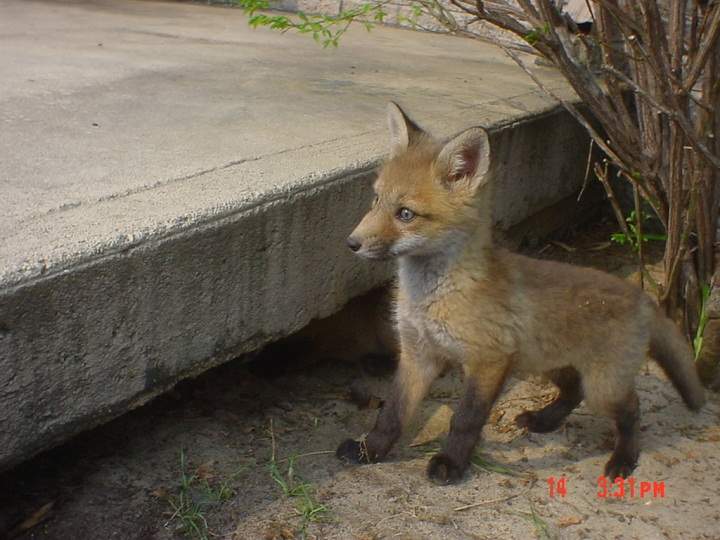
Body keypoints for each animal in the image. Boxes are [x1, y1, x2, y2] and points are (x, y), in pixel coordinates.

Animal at [335, 102, 706, 484]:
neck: (433, 297)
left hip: (603, 386)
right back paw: (544, 420)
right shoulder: (418, 354)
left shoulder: (489, 360)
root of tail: (641, 297)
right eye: (376, 199)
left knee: (631, 409)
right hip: (543, 363)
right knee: (572, 390)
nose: (352, 243)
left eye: (405, 214)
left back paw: (623, 458)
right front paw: (369, 451)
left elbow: (465, 420)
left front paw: (451, 463)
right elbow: (392, 414)